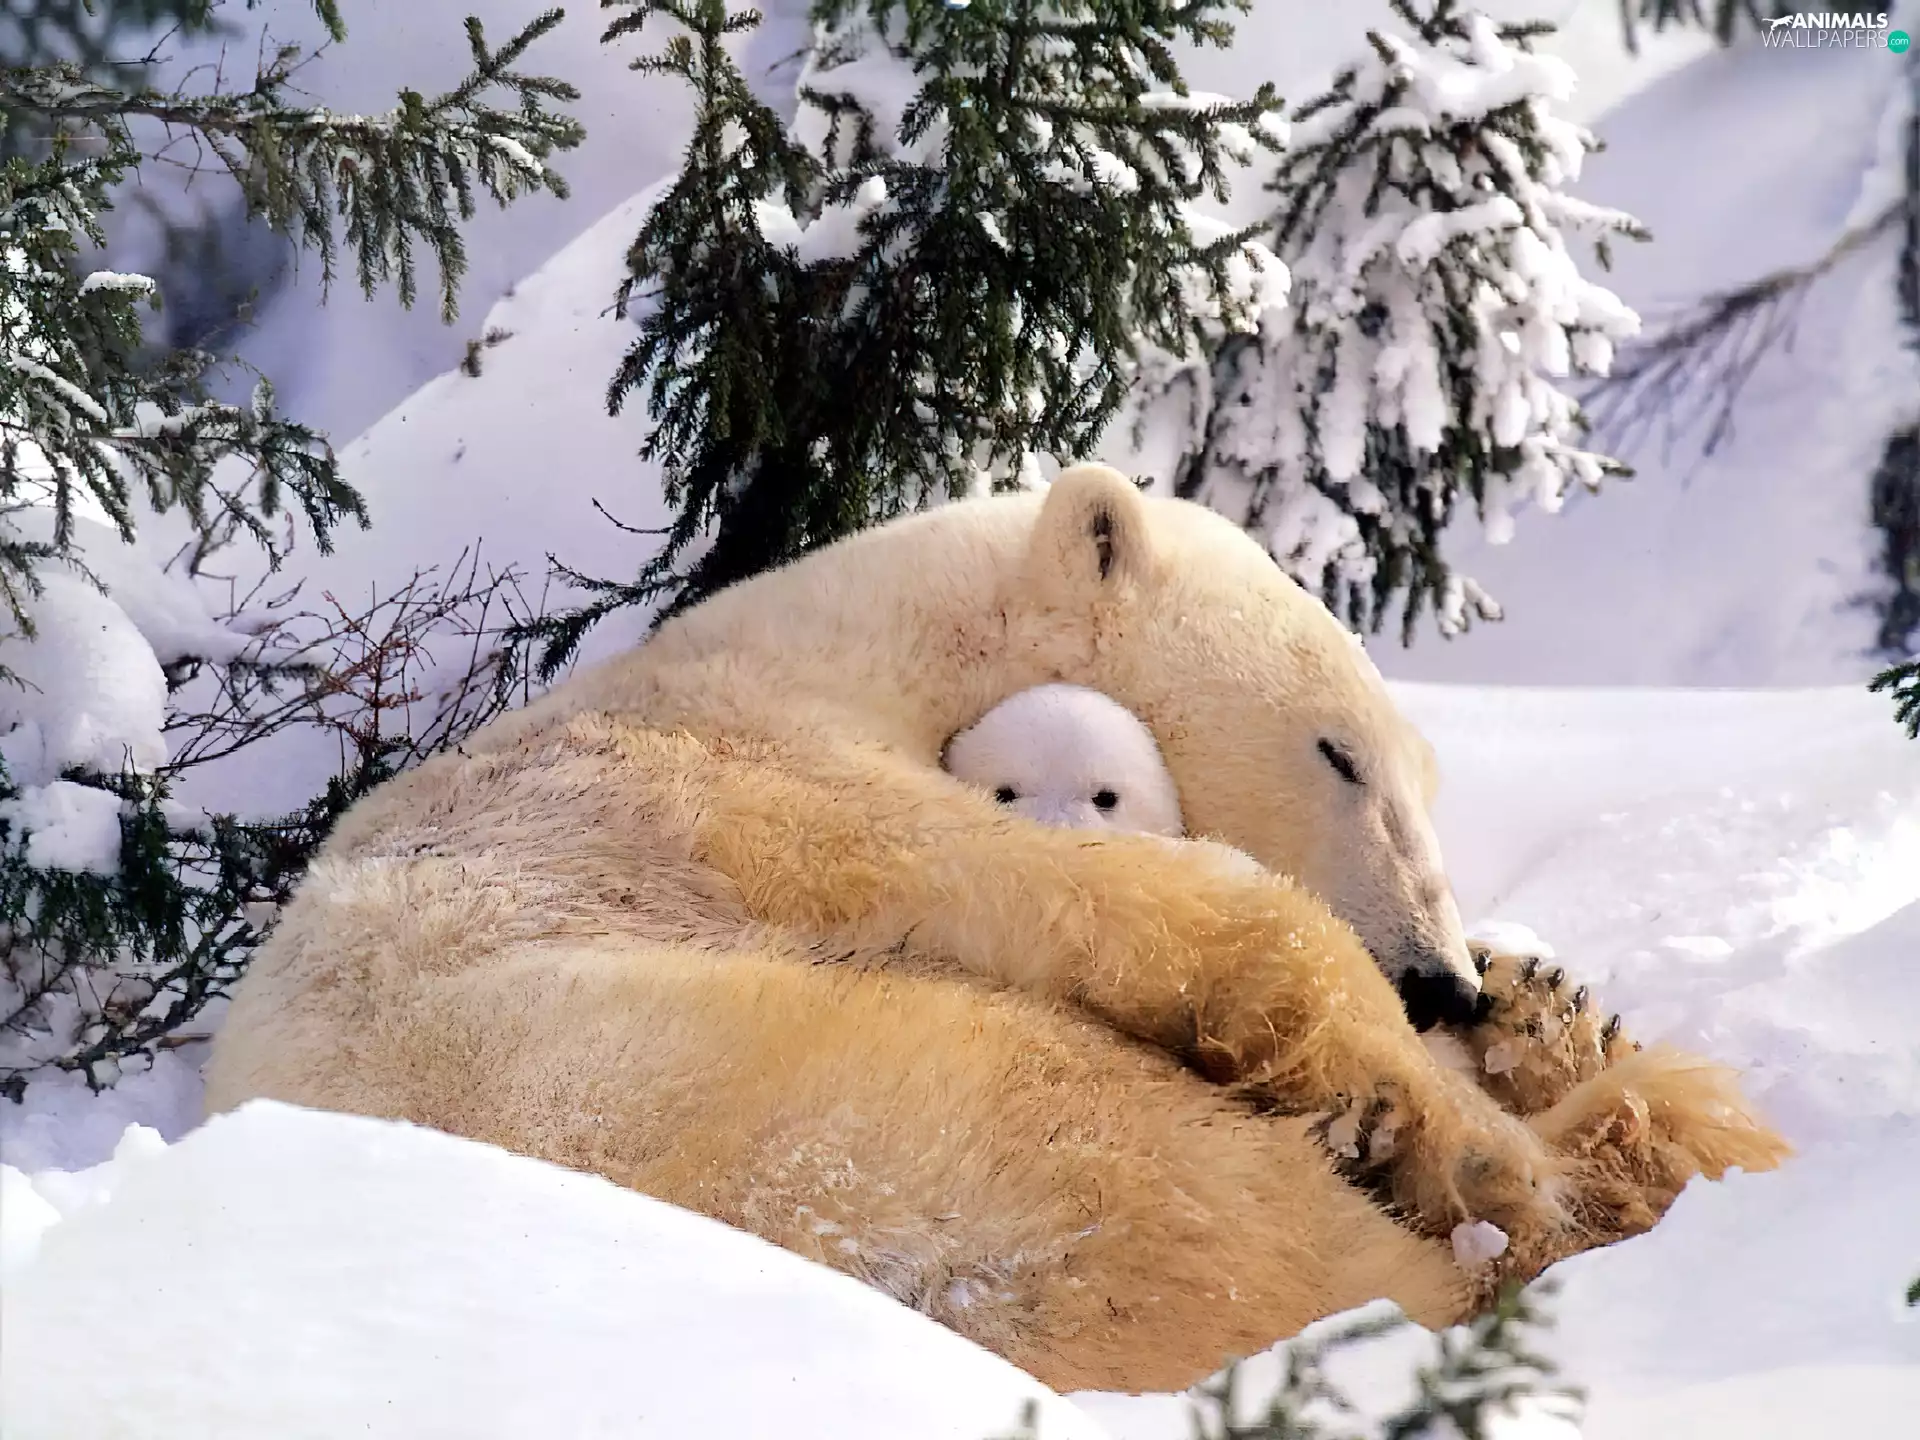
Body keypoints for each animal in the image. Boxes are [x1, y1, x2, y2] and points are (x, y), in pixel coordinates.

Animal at [204, 464, 1787, 1395]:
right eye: (1341, 754)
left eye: (1428, 780)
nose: (1439, 978)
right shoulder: (748, 787)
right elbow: (1142, 906)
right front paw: (1456, 1128)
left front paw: (1536, 1000)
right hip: (882, 1113)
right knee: (1207, 1195)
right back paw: (1606, 1161)